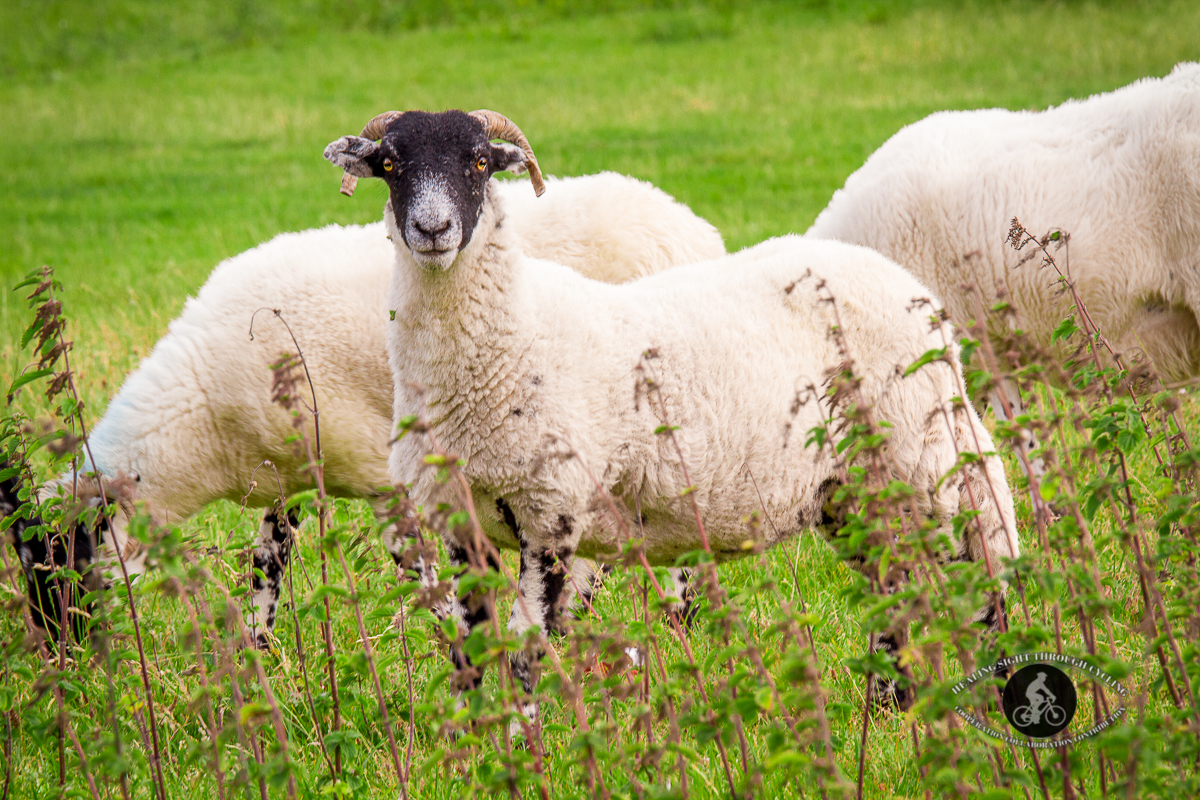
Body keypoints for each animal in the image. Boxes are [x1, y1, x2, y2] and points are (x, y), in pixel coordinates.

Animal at [21, 170, 720, 642]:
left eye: (60, 565)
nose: (64, 660)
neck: (203, 420)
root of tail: (696, 230)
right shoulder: (294, 471)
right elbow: (268, 565)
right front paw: (259, 653)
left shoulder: (385, 473)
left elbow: (422, 574)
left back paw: (669, 621)